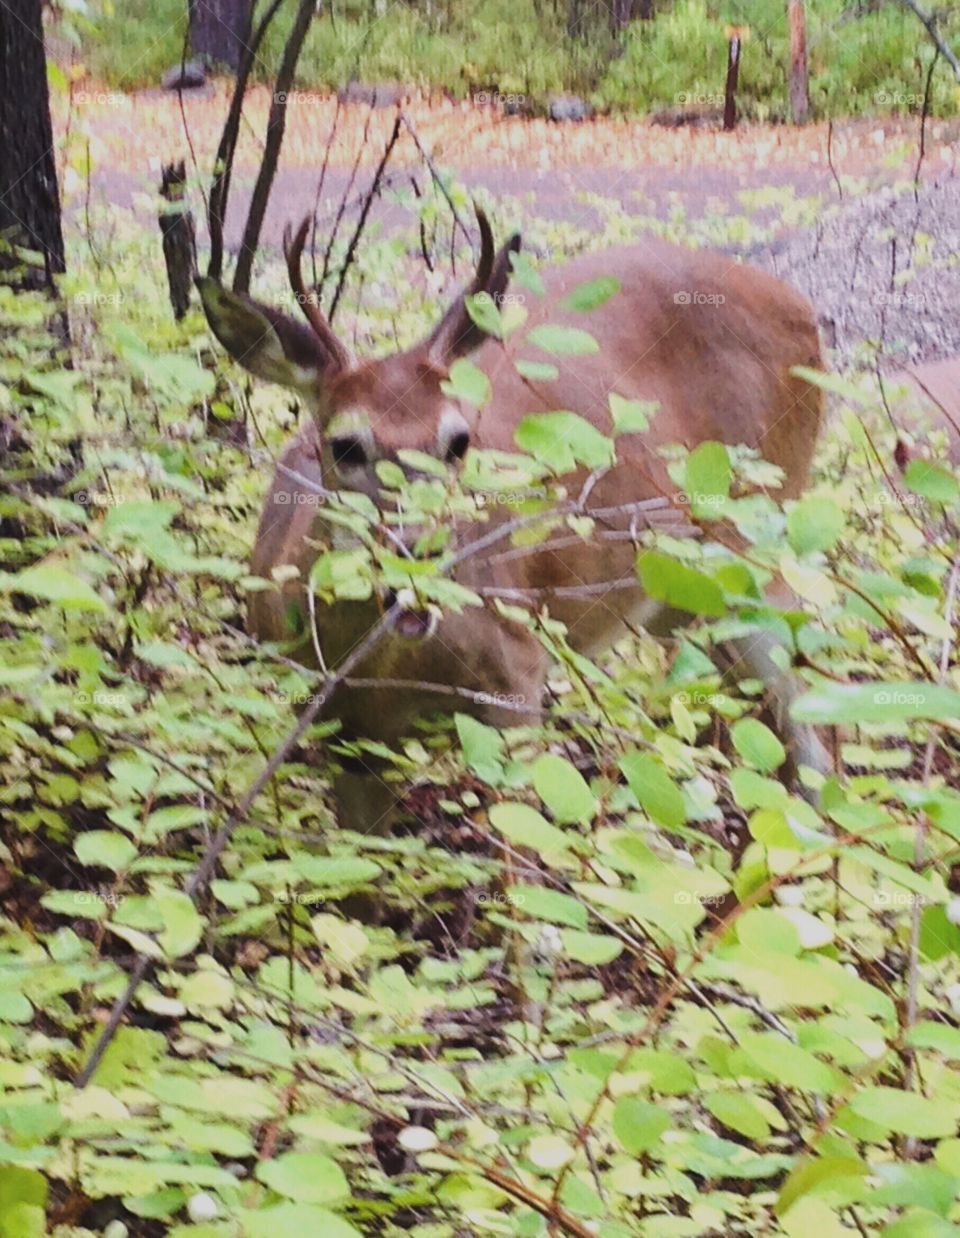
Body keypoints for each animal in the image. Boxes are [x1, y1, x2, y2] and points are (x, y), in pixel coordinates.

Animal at [195, 212, 827, 836]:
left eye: (459, 441)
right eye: (345, 445)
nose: (421, 552)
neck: (393, 669)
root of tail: (799, 305)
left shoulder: (518, 679)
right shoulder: (338, 727)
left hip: (758, 536)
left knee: (815, 728)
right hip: (677, 596)